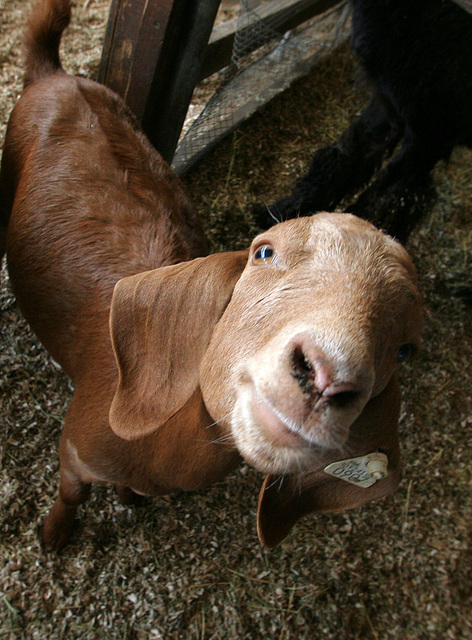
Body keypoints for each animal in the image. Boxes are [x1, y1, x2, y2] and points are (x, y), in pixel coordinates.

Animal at [0, 0, 422, 552]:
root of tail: (56, 74)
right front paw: (53, 535)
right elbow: (71, 494)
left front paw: (129, 499)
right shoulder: (74, 450)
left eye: (406, 348)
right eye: (264, 251)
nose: (326, 377)